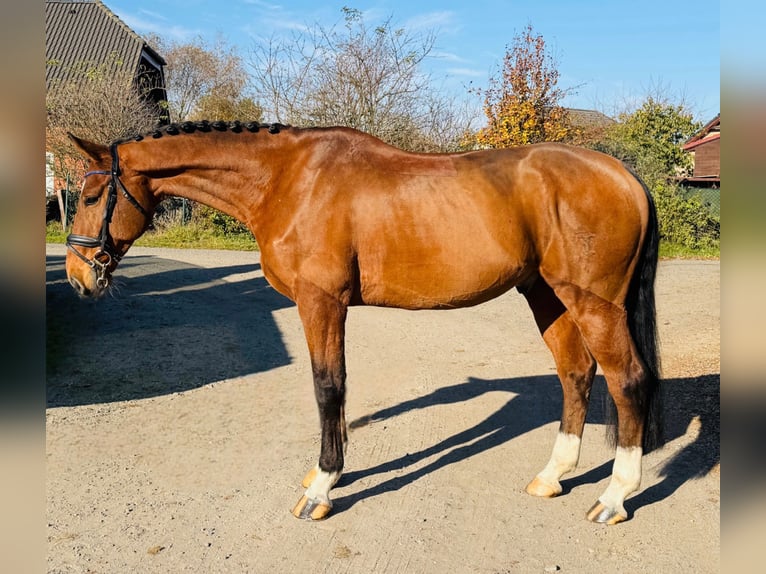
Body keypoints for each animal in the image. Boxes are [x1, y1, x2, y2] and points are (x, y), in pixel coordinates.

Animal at [66, 121, 664, 528]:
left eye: (92, 196)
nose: (77, 277)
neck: (288, 181)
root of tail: (625, 175)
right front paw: (323, 474)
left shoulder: (321, 303)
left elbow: (328, 387)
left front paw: (322, 488)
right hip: (547, 295)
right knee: (577, 374)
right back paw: (551, 477)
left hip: (593, 302)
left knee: (628, 381)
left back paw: (614, 497)